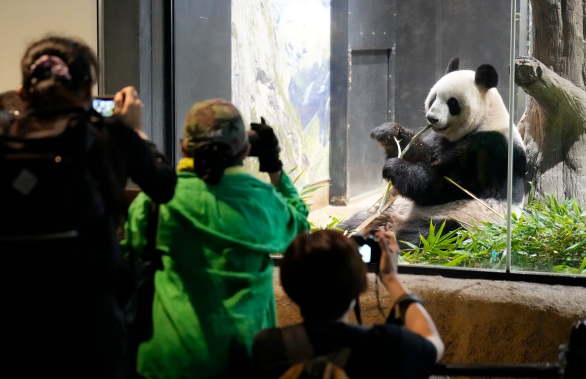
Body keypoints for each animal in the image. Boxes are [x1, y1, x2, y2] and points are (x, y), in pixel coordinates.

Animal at [338, 58, 524, 249]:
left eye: (452, 103)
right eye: (434, 97)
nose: (431, 118)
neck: (486, 119)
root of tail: (391, 222)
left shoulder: (491, 151)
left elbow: (444, 187)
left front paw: (395, 168)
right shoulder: (440, 140)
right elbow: (424, 155)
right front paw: (389, 133)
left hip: (463, 220)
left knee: (429, 234)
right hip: (384, 210)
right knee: (355, 221)